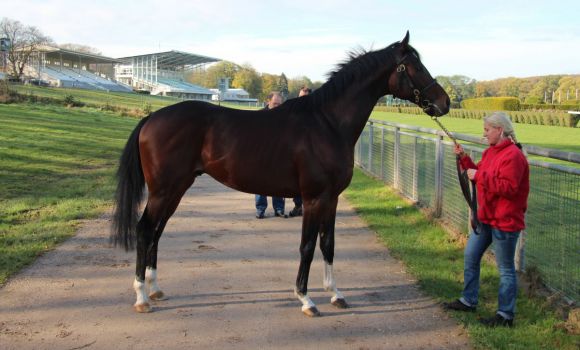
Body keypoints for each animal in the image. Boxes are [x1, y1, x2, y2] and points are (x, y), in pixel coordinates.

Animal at [112, 32, 448, 318]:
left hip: (176, 189)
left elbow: (328, 244)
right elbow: (307, 247)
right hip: (163, 190)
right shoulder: (313, 199)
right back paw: (142, 297)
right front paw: (306, 299)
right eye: (415, 66)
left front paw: (336, 294)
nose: (444, 103)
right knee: (145, 230)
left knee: (157, 232)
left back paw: (155, 289)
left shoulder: (332, 200)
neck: (327, 123)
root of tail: (151, 117)